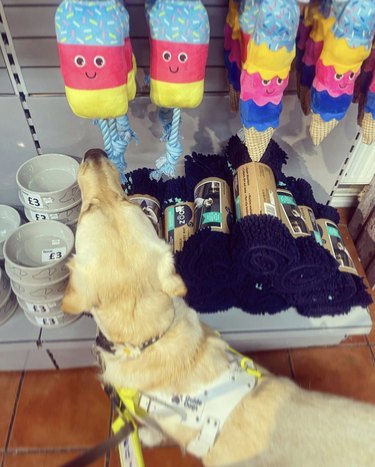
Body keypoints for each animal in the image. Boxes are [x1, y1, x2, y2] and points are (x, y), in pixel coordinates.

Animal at [61, 150, 375, 467]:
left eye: (87, 210)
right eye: (125, 201)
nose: (94, 154)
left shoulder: (145, 411)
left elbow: (149, 428)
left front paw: (145, 437)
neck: (151, 334)